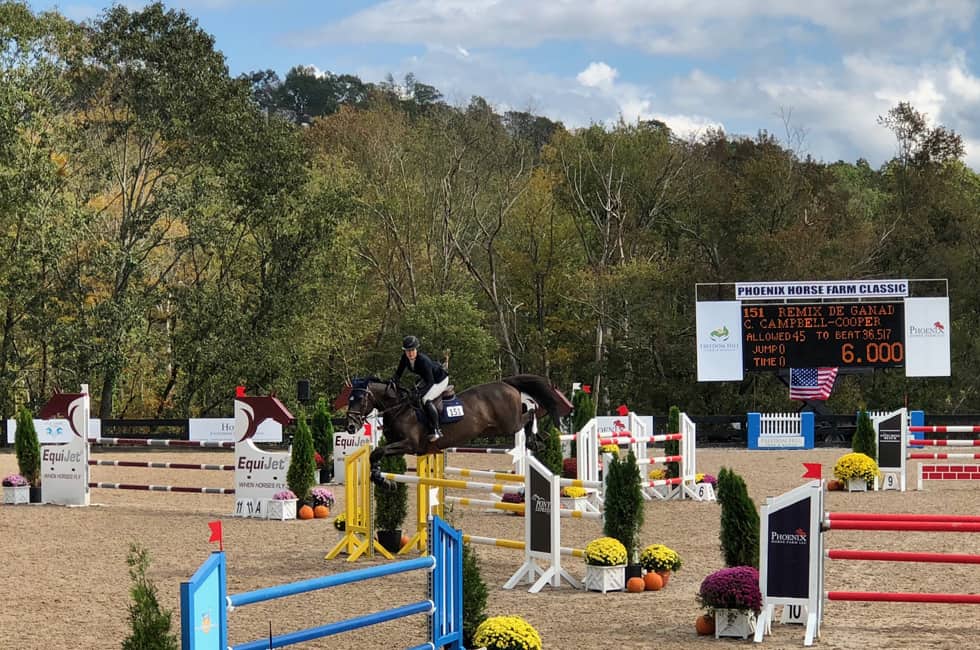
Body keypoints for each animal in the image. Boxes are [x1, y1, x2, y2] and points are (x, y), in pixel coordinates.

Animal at [346, 372, 568, 484]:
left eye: (360, 399)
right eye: (349, 398)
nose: (350, 426)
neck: (401, 408)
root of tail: (505, 383)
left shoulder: (409, 444)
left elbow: (377, 451)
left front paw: (380, 478)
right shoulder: (396, 444)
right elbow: (376, 453)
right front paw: (378, 477)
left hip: (508, 424)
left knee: (529, 413)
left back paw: (535, 439)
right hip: (495, 428)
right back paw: (538, 440)